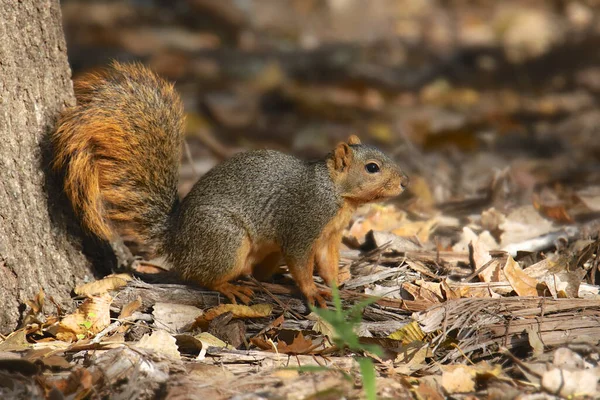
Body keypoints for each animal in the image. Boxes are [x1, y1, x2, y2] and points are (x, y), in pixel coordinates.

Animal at [51, 61, 410, 306]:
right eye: (373, 168)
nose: (405, 182)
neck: (336, 194)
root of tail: (176, 239)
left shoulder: (329, 236)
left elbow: (329, 264)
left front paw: (337, 287)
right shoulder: (303, 223)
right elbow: (301, 264)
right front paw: (312, 293)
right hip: (226, 239)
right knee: (197, 276)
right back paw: (229, 287)